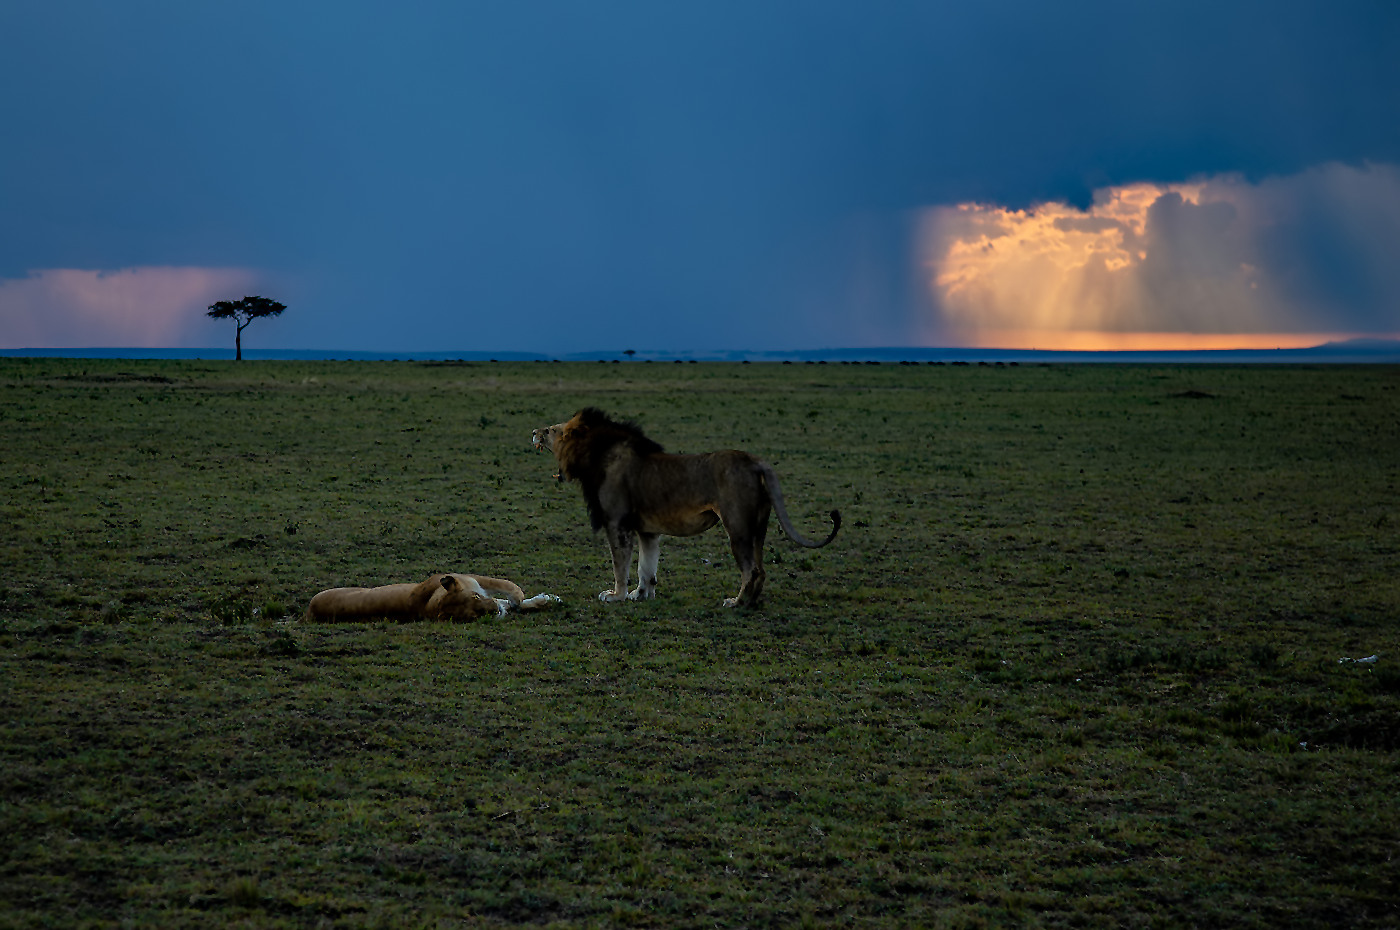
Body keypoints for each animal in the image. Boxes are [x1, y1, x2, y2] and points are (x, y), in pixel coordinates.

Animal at [529, 406, 834, 610]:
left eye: (551, 431)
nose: (533, 431)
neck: (595, 456)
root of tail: (755, 460)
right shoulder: (647, 531)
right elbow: (646, 567)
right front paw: (641, 595)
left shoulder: (617, 523)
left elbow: (621, 565)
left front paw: (616, 596)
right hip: (758, 526)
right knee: (761, 568)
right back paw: (751, 602)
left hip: (737, 526)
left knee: (752, 569)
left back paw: (736, 602)